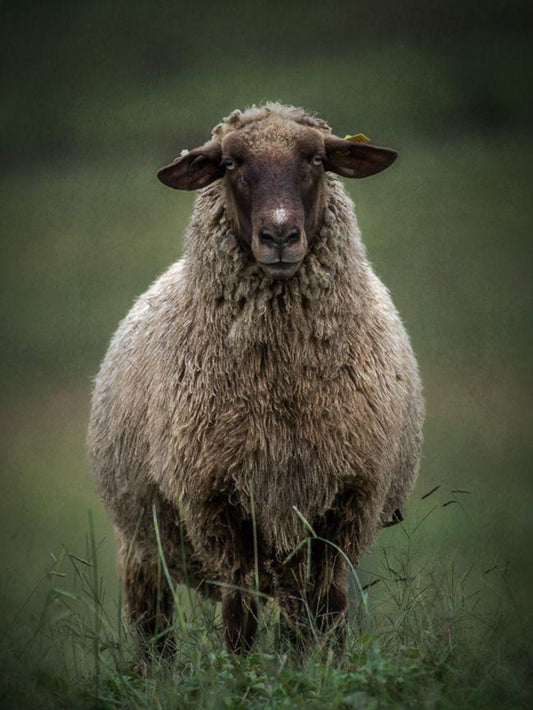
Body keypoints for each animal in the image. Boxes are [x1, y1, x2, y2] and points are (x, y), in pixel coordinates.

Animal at [87, 103, 424, 656]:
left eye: (317, 159)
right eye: (228, 164)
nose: (280, 237)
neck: (280, 391)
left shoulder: (345, 498)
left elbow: (329, 605)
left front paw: (327, 665)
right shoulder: (215, 500)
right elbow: (239, 612)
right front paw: (240, 670)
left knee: (298, 611)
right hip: (141, 539)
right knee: (153, 629)